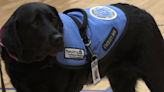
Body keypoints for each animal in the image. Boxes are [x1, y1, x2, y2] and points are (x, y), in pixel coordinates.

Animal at [0, 1, 164, 92]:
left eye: (54, 20)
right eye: (35, 23)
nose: (59, 39)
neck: (31, 65)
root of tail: (146, 14)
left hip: (154, 76)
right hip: (121, 82)